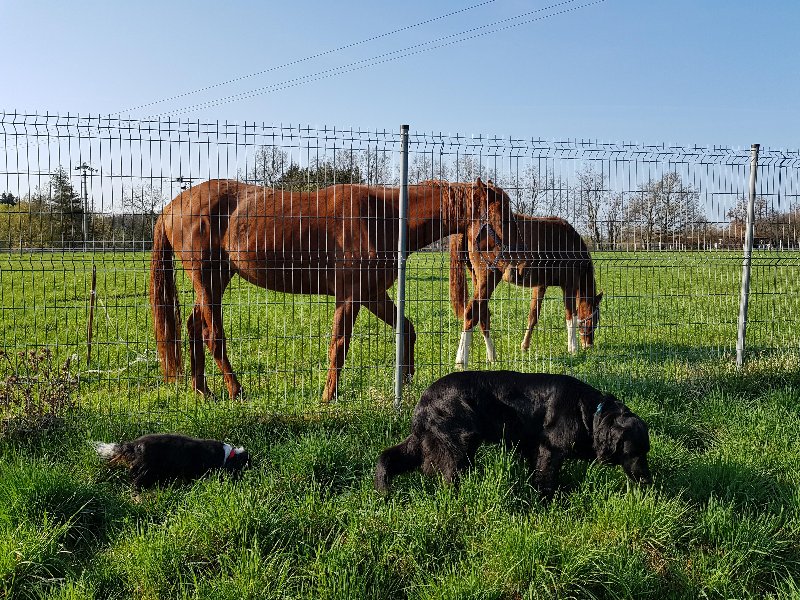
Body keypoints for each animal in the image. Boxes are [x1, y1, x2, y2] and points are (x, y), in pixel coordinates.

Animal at [150, 178, 520, 404]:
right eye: (502, 217)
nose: (515, 263)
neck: (383, 217)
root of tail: (171, 207)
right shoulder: (351, 297)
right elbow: (339, 345)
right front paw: (329, 396)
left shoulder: (373, 295)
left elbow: (406, 329)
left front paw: (407, 378)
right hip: (207, 280)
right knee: (212, 336)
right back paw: (234, 390)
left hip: (215, 281)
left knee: (194, 327)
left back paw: (202, 391)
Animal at [376, 370, 648, 496]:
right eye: (633, 452)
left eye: (646, 451)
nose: (647, 481)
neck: (592, 412)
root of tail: (423, 401)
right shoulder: (550, 450)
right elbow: (546, 480)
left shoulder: (530, 449)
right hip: (457, 445)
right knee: (450, 478)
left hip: (425, 443)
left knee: (386, 457)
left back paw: (383, 491)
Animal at [450, 213, 600, 368]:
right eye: (594, 320)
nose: (588, 345)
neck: (570, 242)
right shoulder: (569, 285)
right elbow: (571, 316)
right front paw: (573, 348)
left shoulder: (540, 286)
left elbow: (533, 316)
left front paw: (524, 346)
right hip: (488, 279)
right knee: (471, 313)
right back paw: (461, 361)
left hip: (477, 279)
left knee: (483, 315)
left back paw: (492, 356)